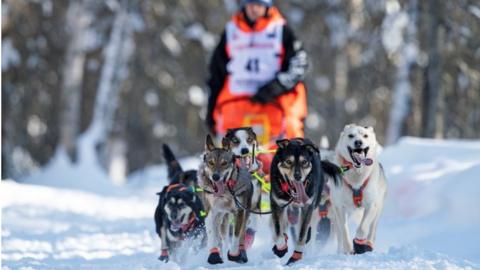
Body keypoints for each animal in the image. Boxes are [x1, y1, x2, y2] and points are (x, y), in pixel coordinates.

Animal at [328, 124, 388, 255]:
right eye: (351, 135)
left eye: (365, 135)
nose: (358, 142)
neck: (356, 176)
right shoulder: (339, 207)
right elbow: (344, 231)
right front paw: (348, 249)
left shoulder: (371, 205)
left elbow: (362, 228)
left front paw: (360, 243)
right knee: (339, 234)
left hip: (378, 211)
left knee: (372, 230)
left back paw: (368, 244)